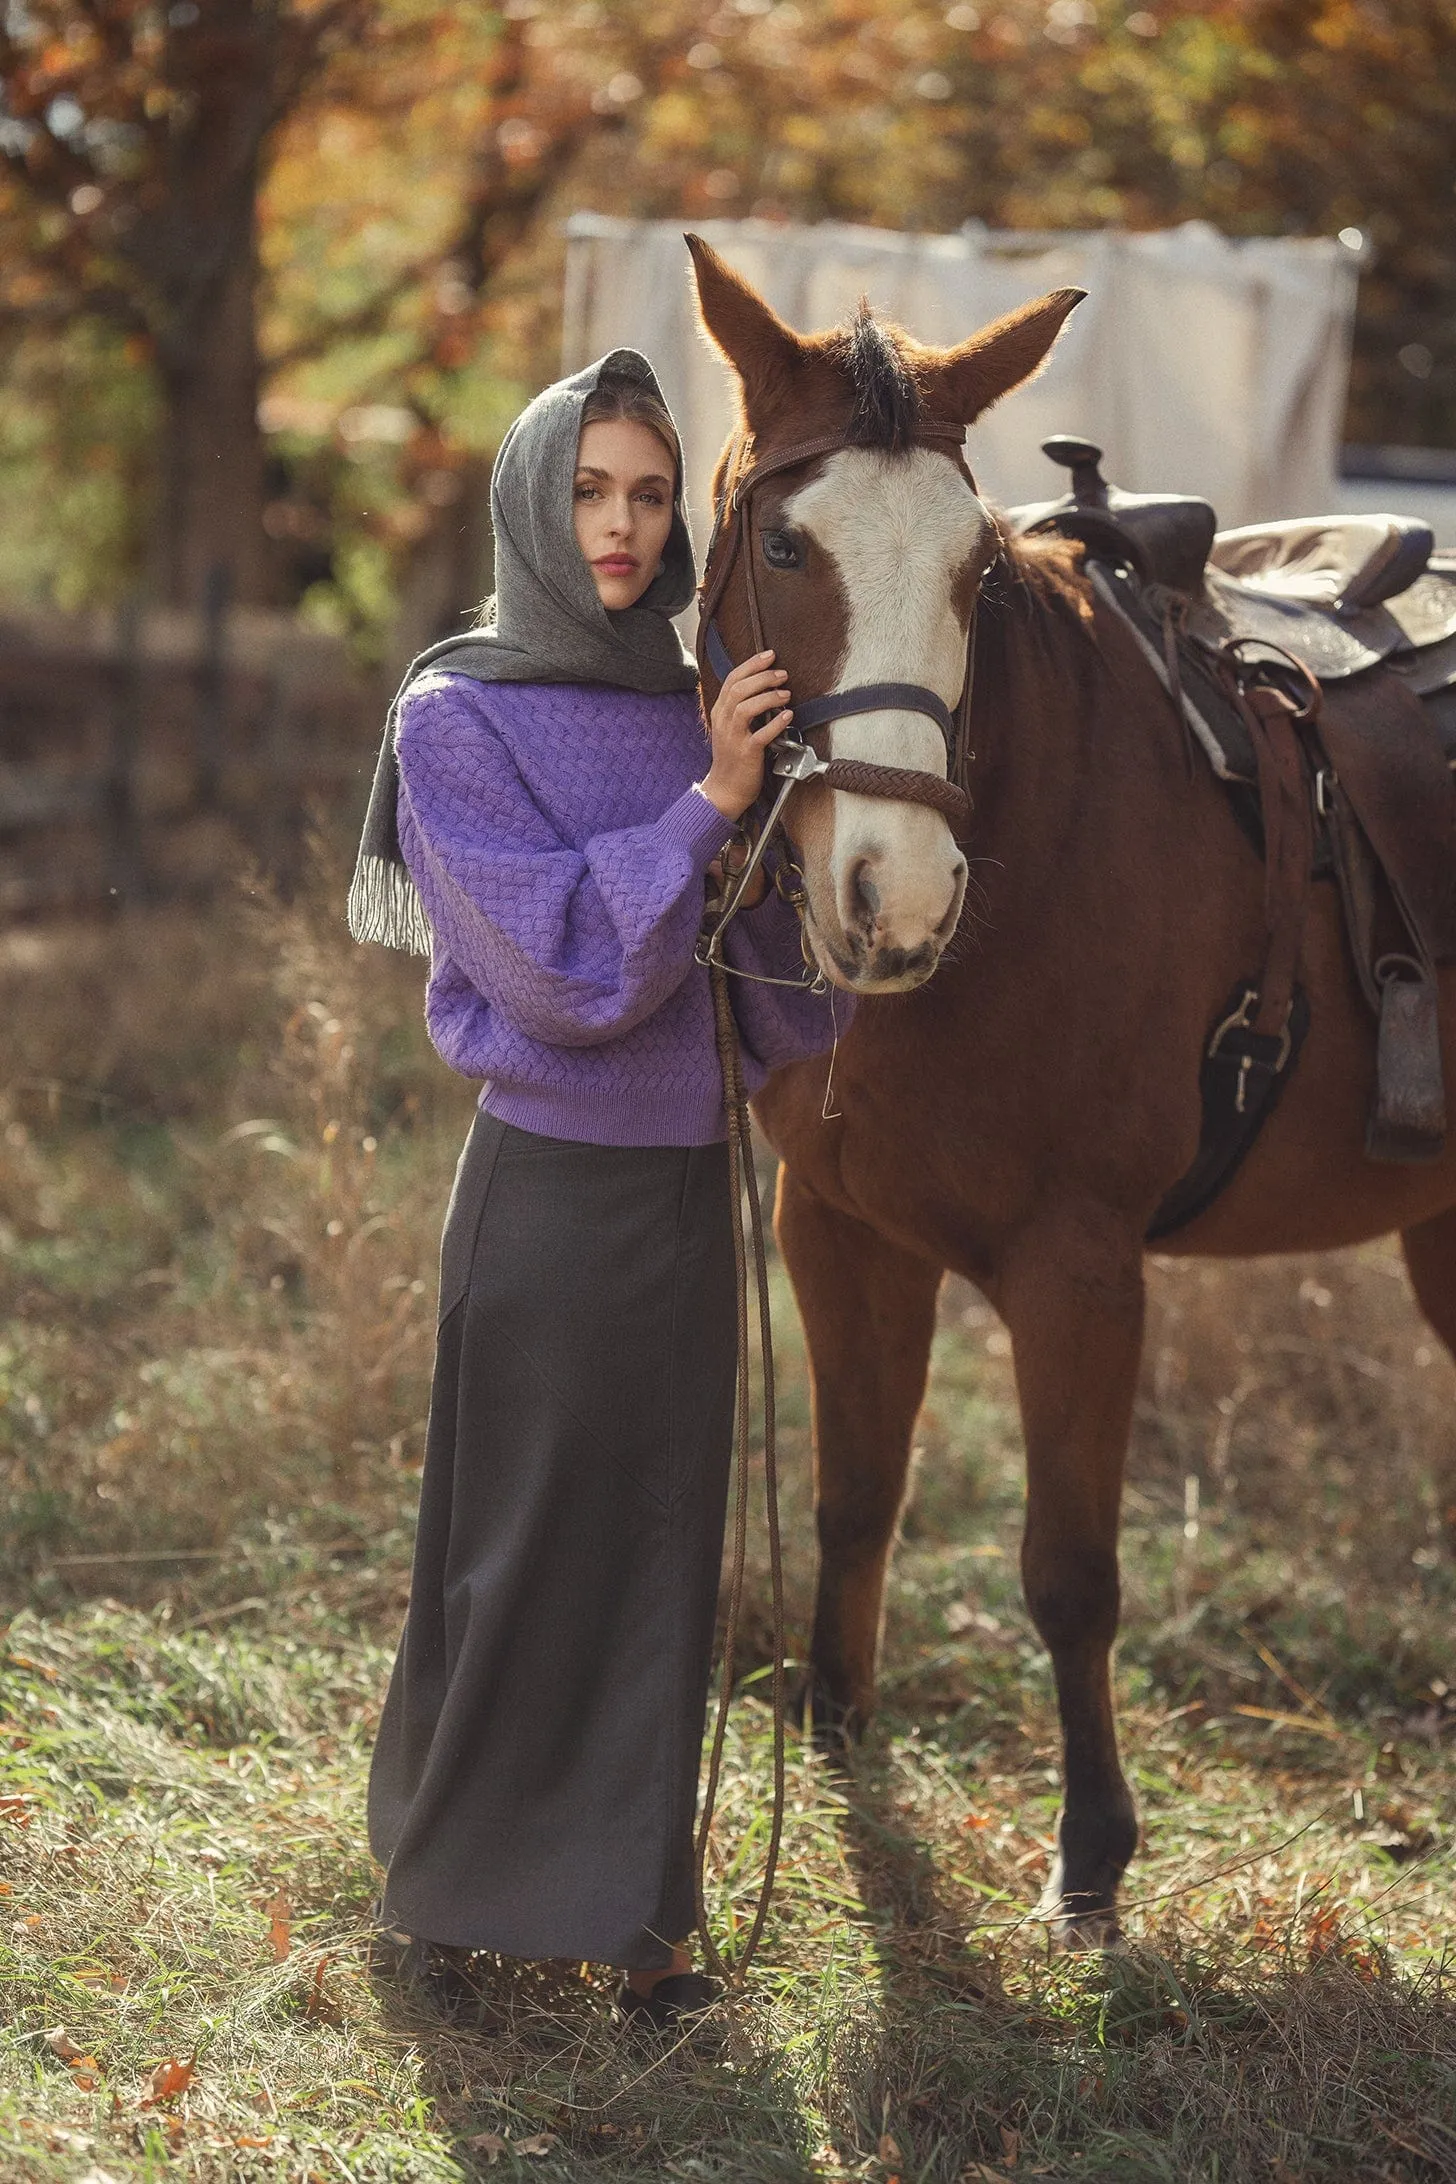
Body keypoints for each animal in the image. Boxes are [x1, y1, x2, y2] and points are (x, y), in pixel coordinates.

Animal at [685, 239, 1456, 1948]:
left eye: (974, 569)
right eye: (784, 540)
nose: (893, 895)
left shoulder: (1080, 1269)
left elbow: (1070, 1570)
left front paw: (1092, 1851)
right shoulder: (837, 1228)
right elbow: (858, 1491)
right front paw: (835, 1729)